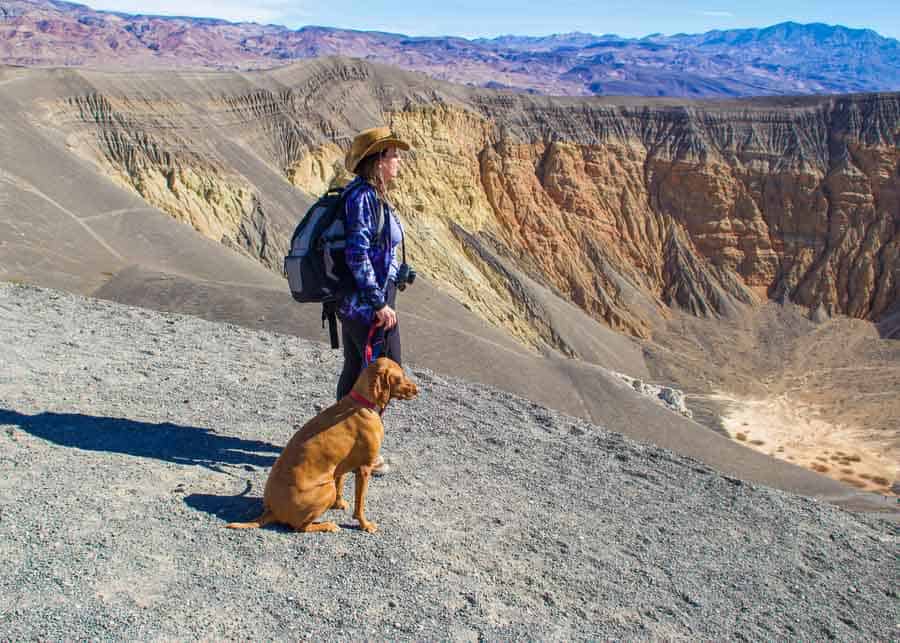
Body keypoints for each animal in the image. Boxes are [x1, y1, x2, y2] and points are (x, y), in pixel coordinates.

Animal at [229, 360, 418, 536]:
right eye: (400, 377)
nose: (417, 390)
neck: (362, 403)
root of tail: (272, 510)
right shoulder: (364, 468)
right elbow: (360, 504)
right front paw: (365, 525)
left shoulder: (341, 467)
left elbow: (341, 485)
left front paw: (339, 504)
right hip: (327, 489)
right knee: (300, 527)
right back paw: (327, 525)